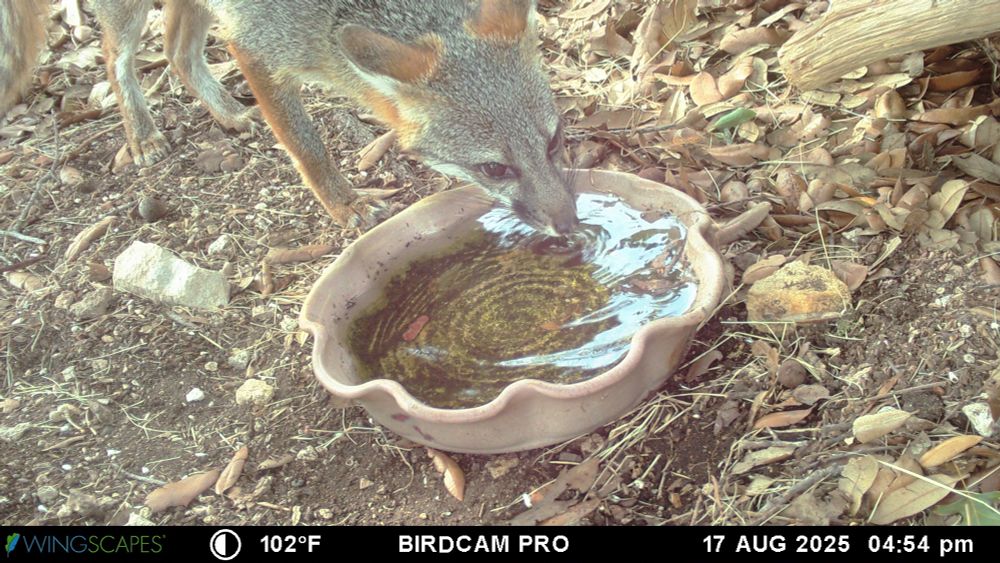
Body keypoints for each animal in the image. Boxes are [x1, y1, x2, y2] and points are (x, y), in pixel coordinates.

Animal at [0, 0, 579, 235]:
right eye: (494, 169)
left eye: (554, 142)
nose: (571, 225)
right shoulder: (255, 46)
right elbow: (307, 145)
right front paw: (345, 204)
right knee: (116, 55)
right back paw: (141, 134)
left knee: (176, 51)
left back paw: (228, 113)